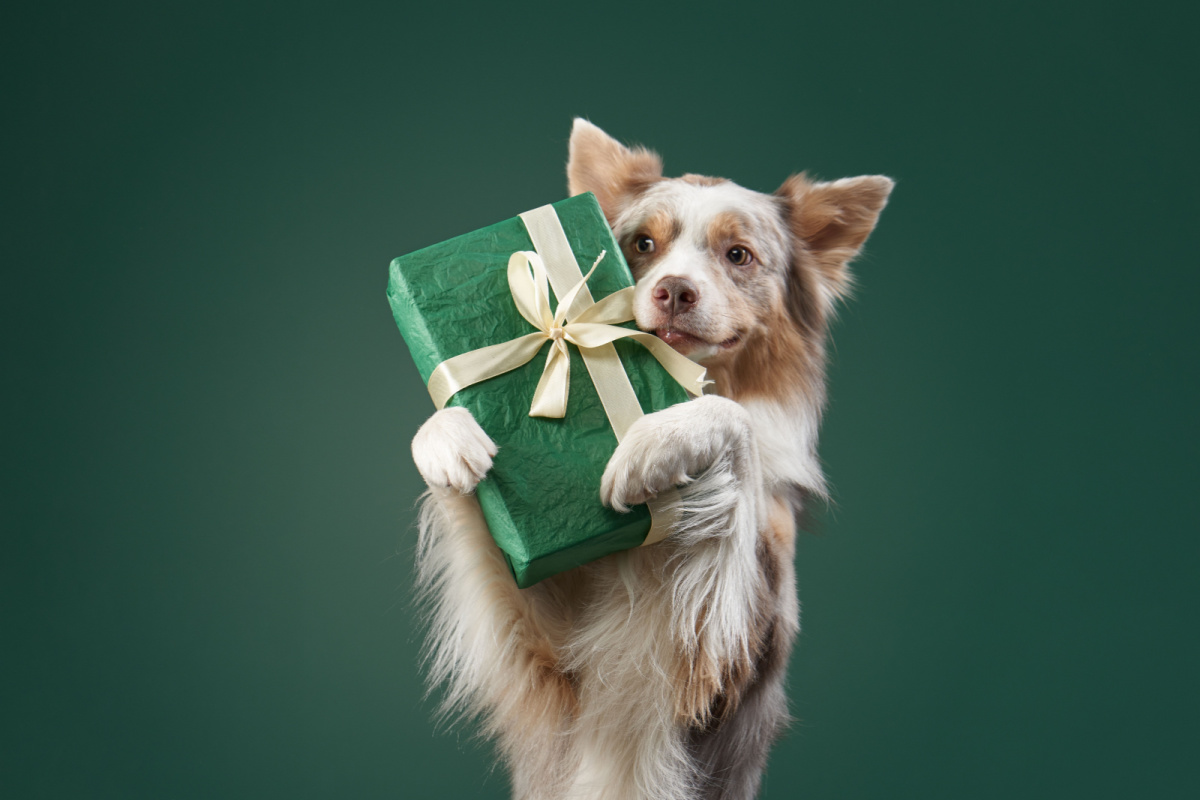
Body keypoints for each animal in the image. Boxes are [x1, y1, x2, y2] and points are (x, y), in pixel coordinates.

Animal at [412, 120, 892, 800]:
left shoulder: (719, 664)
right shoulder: (548, 657)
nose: (673, 290)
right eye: (643, 243)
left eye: (738, 255)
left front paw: (654, 444)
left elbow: (732, 420)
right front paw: (446, 435)